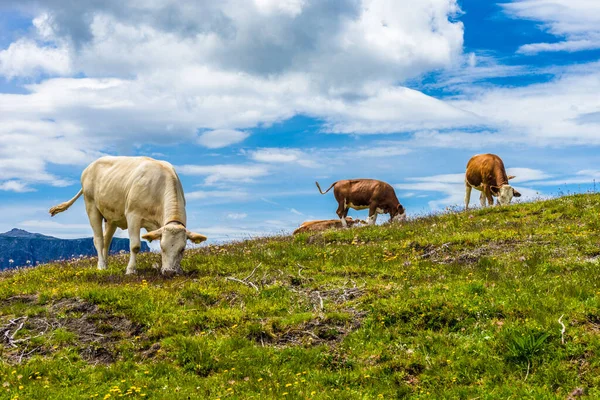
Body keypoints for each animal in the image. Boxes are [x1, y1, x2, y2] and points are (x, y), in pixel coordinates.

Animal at [47, 155, 206, 276]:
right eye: (162, 247)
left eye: (183, 249)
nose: (169, 272)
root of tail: (89, 167)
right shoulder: (133, 215)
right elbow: (135, 246)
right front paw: (130, 270)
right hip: (91, 205)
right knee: (98, 239)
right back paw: (101, 266)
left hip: (111, 217)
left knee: (106, 240)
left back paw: (106, 264)